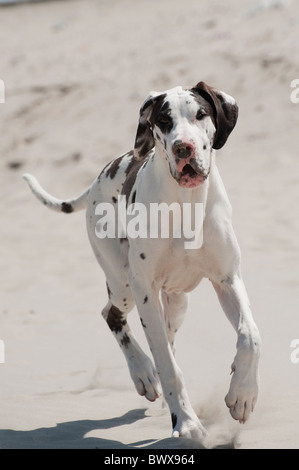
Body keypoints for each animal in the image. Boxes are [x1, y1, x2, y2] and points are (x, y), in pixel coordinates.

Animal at [23, 81, 262, 440]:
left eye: (200, 113)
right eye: (163, 120)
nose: (183, 148)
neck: (185, 204)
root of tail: (96, 180)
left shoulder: (228, 279)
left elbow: (250, 336)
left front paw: (243, 395)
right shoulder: (145, 291)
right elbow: (166, 364)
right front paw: (187, 423)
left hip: (177, 303)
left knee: (169, 337)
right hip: (124, 285)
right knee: (112, 315)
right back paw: (143, 373)